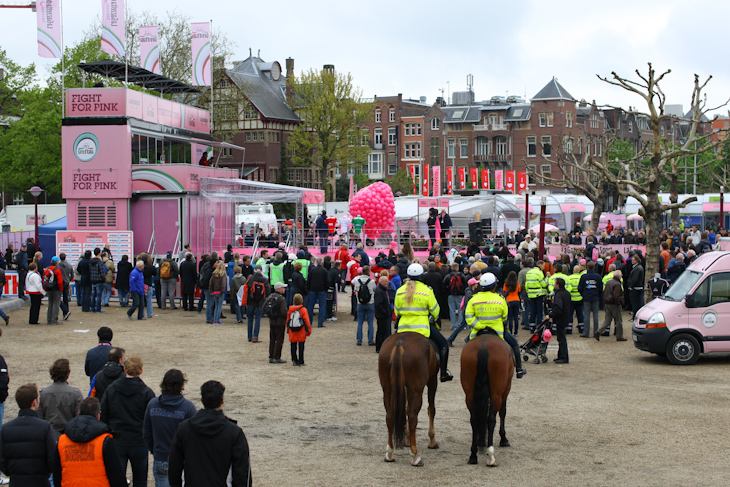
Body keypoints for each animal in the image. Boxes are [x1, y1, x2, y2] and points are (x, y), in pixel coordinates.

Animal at [376, 334, 438, 468]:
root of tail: (399, 344)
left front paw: (407, 439)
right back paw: (415, 456)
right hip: (416, 389)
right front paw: (432, 440)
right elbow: (431, 409)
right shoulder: (432, 380)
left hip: (388, 389)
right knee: (413, 417)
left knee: (390, 417)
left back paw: (389, 453)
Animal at [460, 334, 512, 468]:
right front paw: (503, 438)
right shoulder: (506, 388)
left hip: (469, 394)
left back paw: (473, 455)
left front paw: (481, 441)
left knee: (474, 419)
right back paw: (491, 457)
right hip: (497, 394)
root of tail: (483, 347)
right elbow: (503, 412)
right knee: (491, 419)